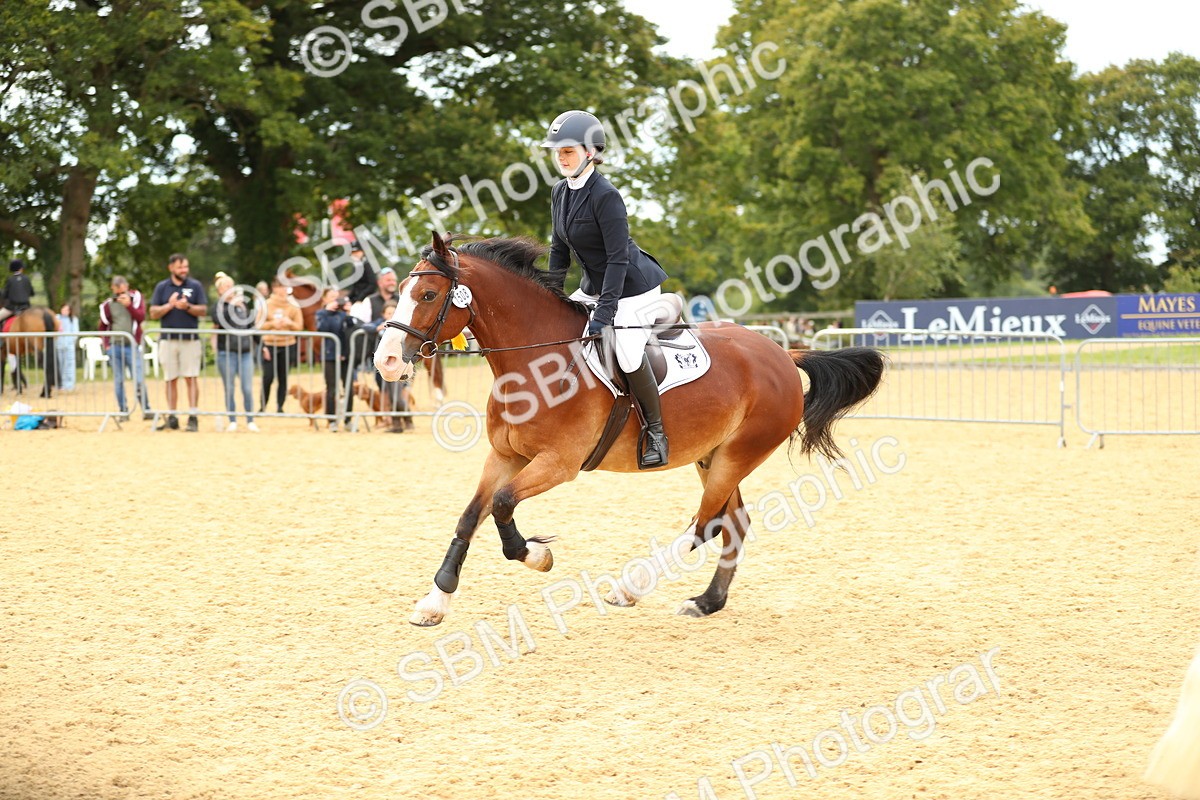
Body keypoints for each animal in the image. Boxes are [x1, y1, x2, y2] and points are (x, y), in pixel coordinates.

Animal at [374, 234, 885, 627]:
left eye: (428, 296)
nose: (387, 362)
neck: (533, 362)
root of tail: (783, 353)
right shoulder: (505, 456)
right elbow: (470, 516)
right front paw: (435, 601)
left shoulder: (558, 464)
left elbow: (500, 505)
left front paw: (537, 555)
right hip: (714, 456)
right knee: (732, 523)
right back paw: (707, 602)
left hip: (738, 454)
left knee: (705, 525)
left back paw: (631, 587)